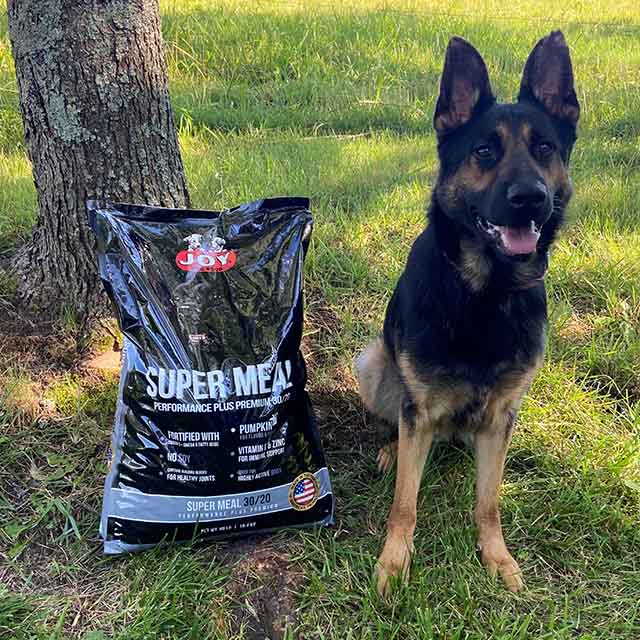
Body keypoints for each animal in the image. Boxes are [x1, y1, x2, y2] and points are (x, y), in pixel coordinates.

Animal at [356, 31, 580, 596]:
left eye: (544, 148)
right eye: (484, 152)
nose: (530, 199)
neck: (484, 294)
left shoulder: (501, 417)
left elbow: (489, 502)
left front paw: (495, 556)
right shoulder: (417, 412)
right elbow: (405, 504)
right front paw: (394, 562)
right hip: (374, 365)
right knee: (395, 425)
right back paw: (390, 450)